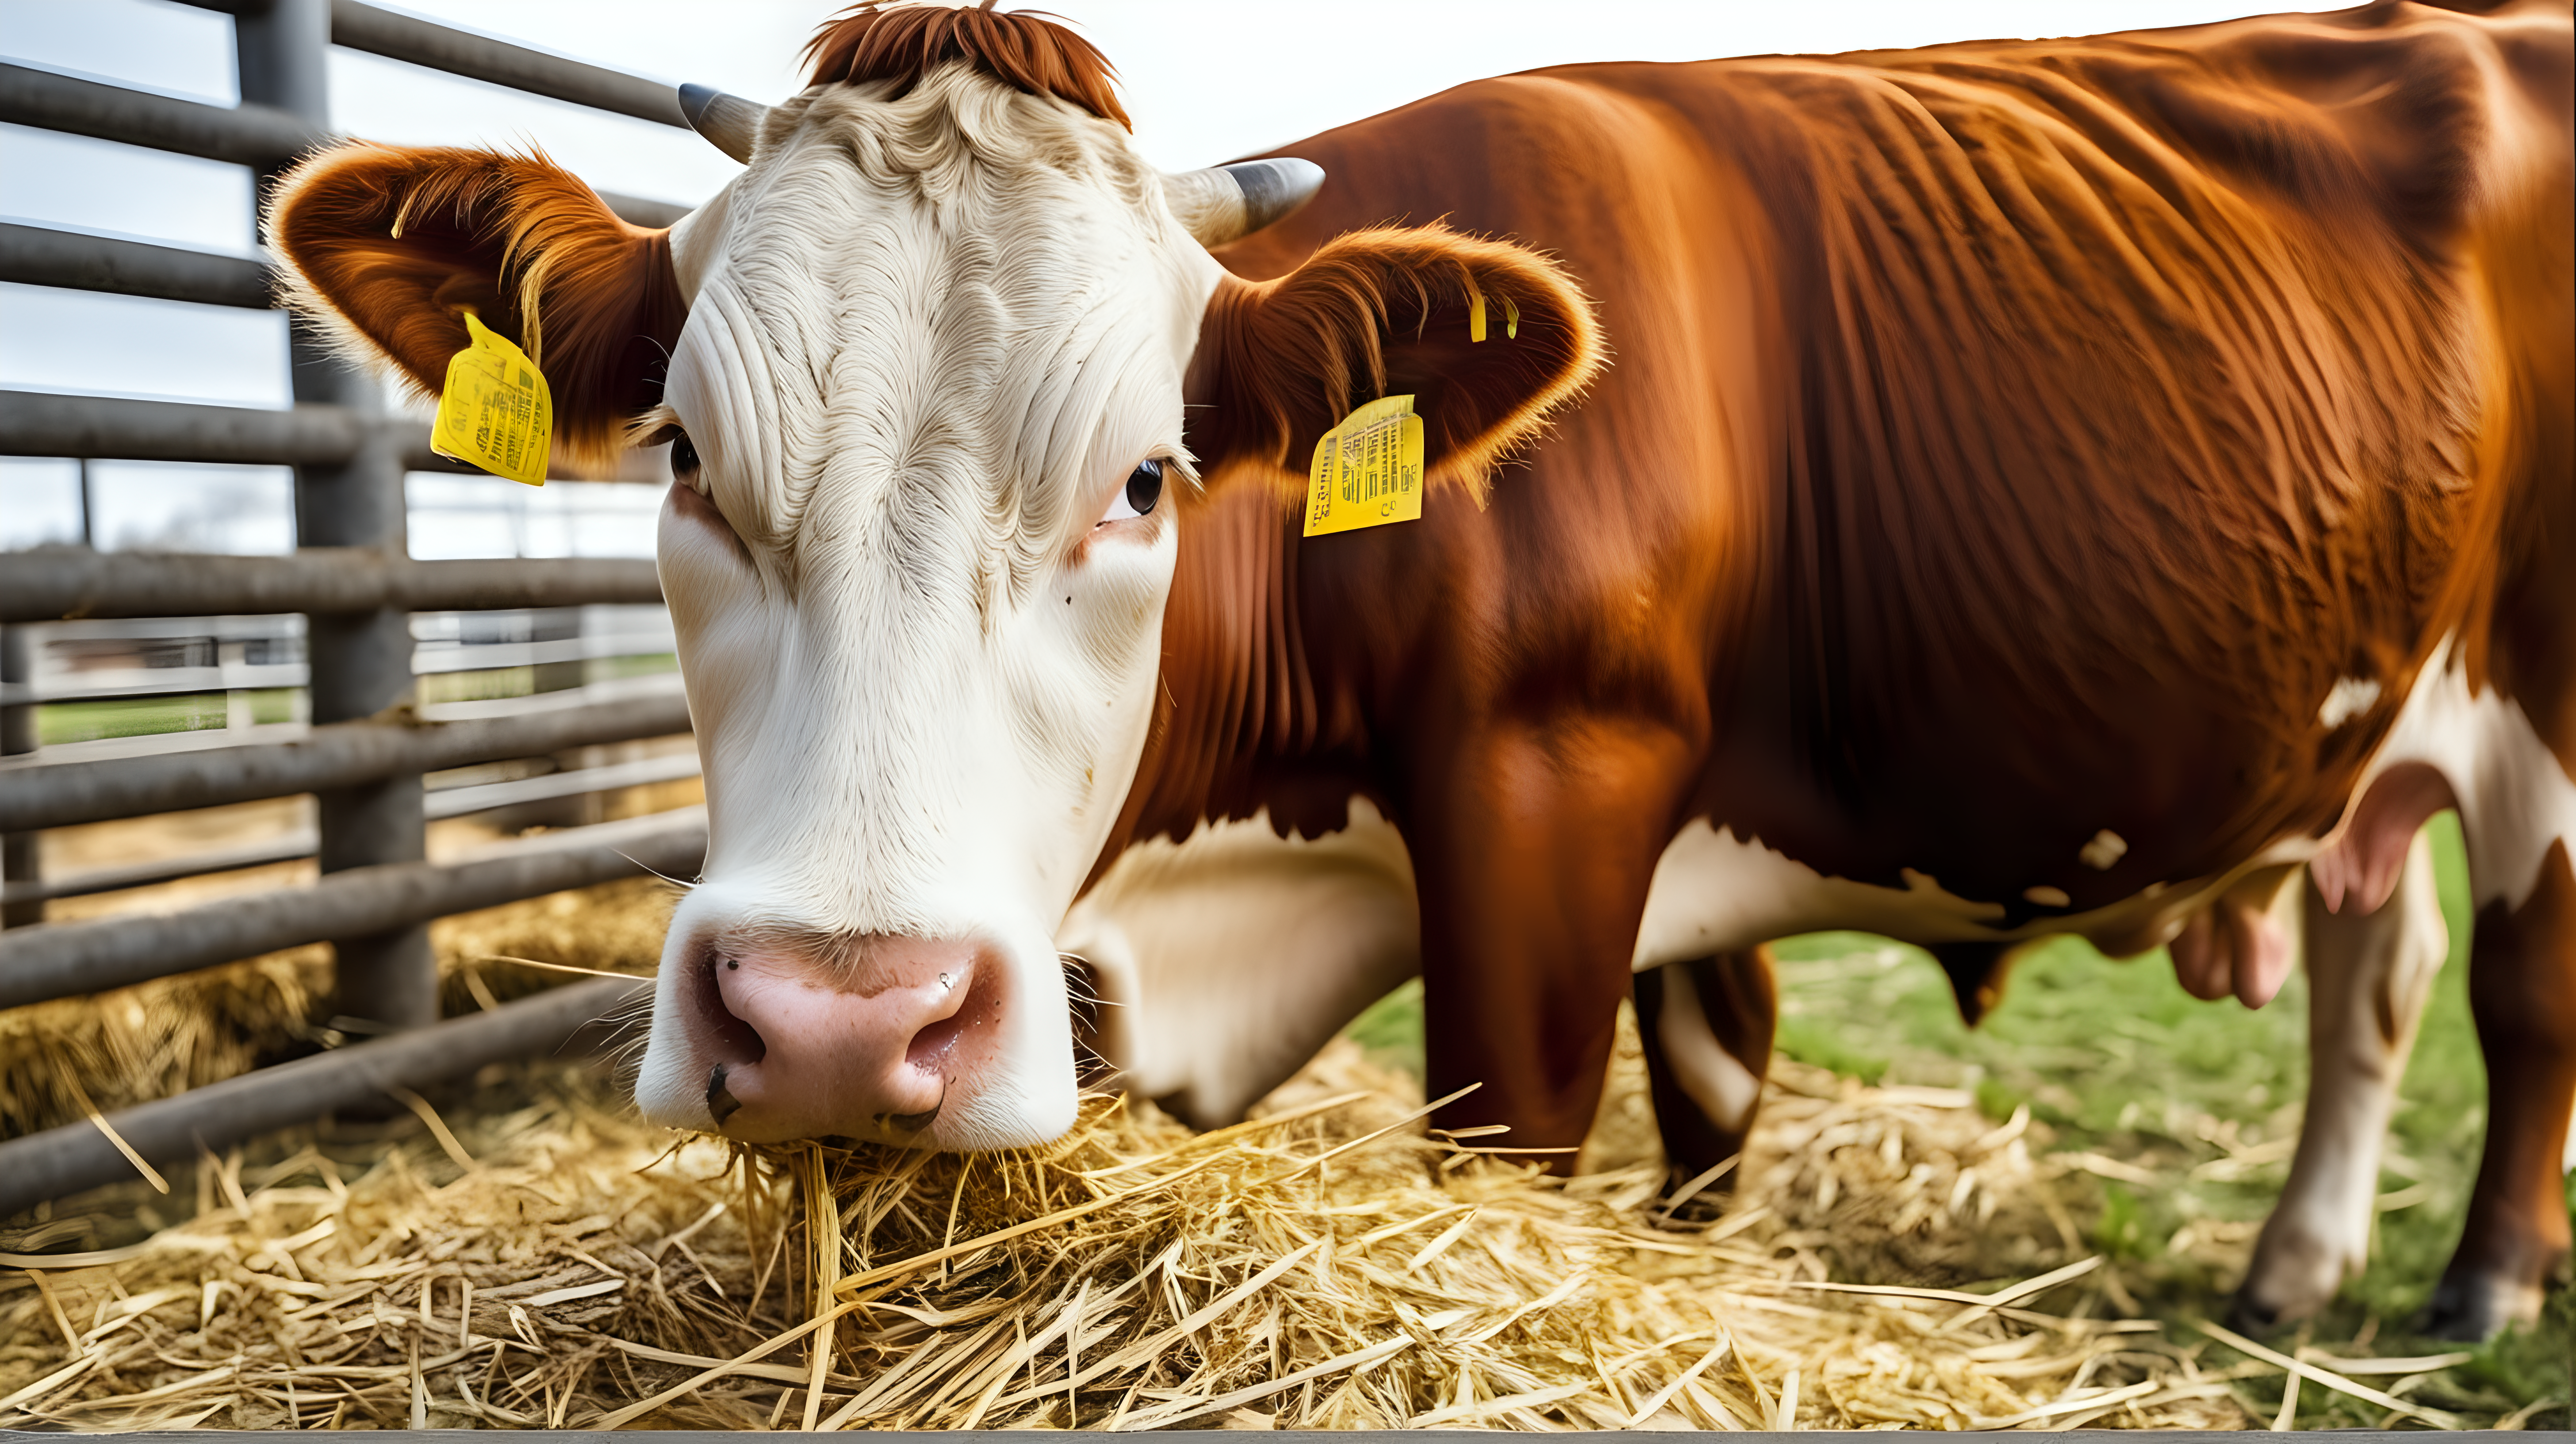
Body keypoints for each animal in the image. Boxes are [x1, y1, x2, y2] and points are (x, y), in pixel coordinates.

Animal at [272, 0, 2565, 1340]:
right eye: (679, 454)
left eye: (1148, 474)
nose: (842, 1020)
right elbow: (1711, 1101)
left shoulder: (1555, 803)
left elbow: (1529, 1137)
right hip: (2369, 739)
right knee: (2380, 970)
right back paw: (2293, 1268)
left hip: (2544, 715)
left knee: (2521, 1000)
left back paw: (2469, 1292)